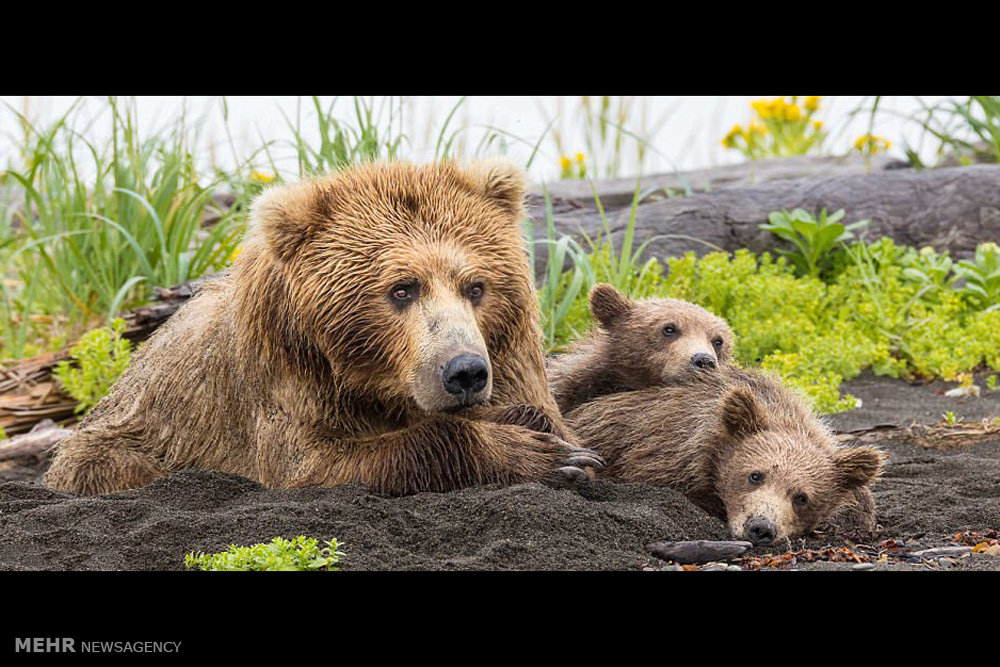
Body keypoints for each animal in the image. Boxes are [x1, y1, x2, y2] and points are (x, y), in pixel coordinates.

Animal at [45, 160, 600, 496]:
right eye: (402, 288)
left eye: (476, 285)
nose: (463, 371)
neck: (376, 386)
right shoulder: (287, 376)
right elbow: (317, 463)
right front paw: (543, 454)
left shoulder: (509, 351)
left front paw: (536, 426)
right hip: (124, 437)